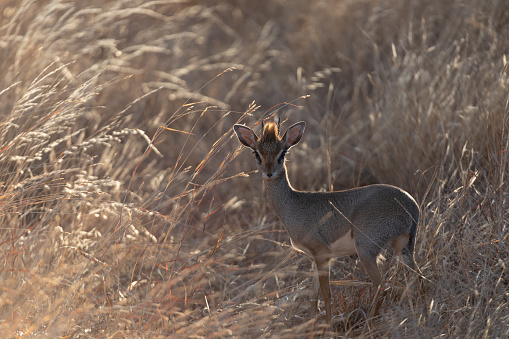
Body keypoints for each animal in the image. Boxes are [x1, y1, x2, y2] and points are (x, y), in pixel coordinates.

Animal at [232, 121, 418, 322]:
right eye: (256, 153)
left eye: (282, 153)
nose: (269, 173)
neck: (293, 204)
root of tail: (411, 205)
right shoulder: (315, 258)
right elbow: (313, 295)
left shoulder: (322, 254)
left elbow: (326, 293)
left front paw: (328, 325)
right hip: (404, 249)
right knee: (418, 278)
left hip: (366, 251)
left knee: (382, 287)